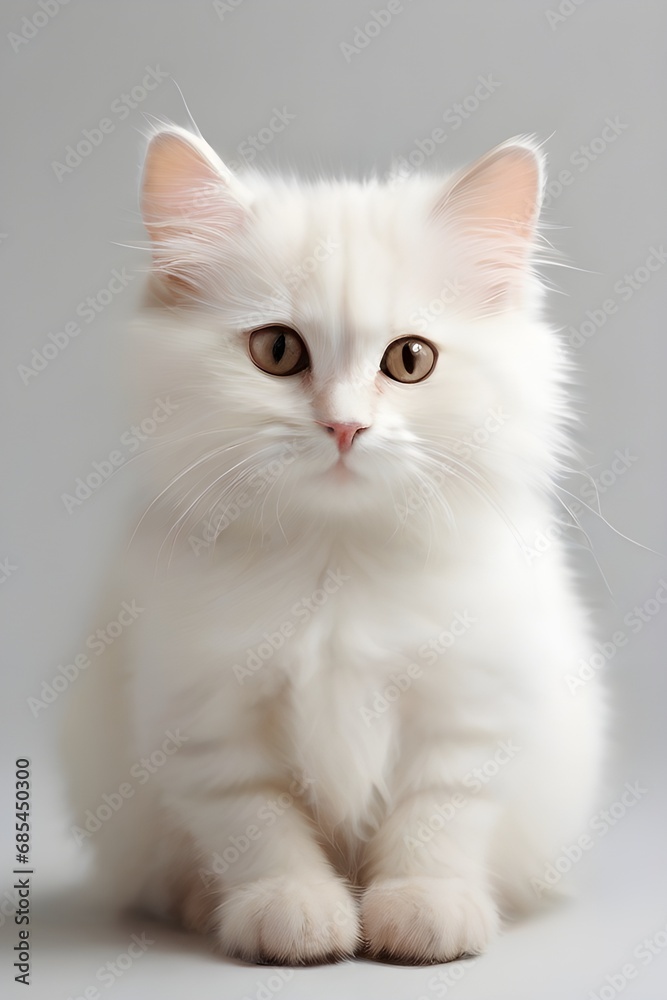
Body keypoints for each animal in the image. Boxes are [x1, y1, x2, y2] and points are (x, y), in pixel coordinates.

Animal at [62, 129, 604, 964]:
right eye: (278, 351)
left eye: (410, 360)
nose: (345, 427)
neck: (335, 561)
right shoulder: (207, 720)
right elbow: (258, 825)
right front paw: (292, 913)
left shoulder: (470, 709)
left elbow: (436, 818)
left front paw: (423, 913)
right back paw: (198, 904)